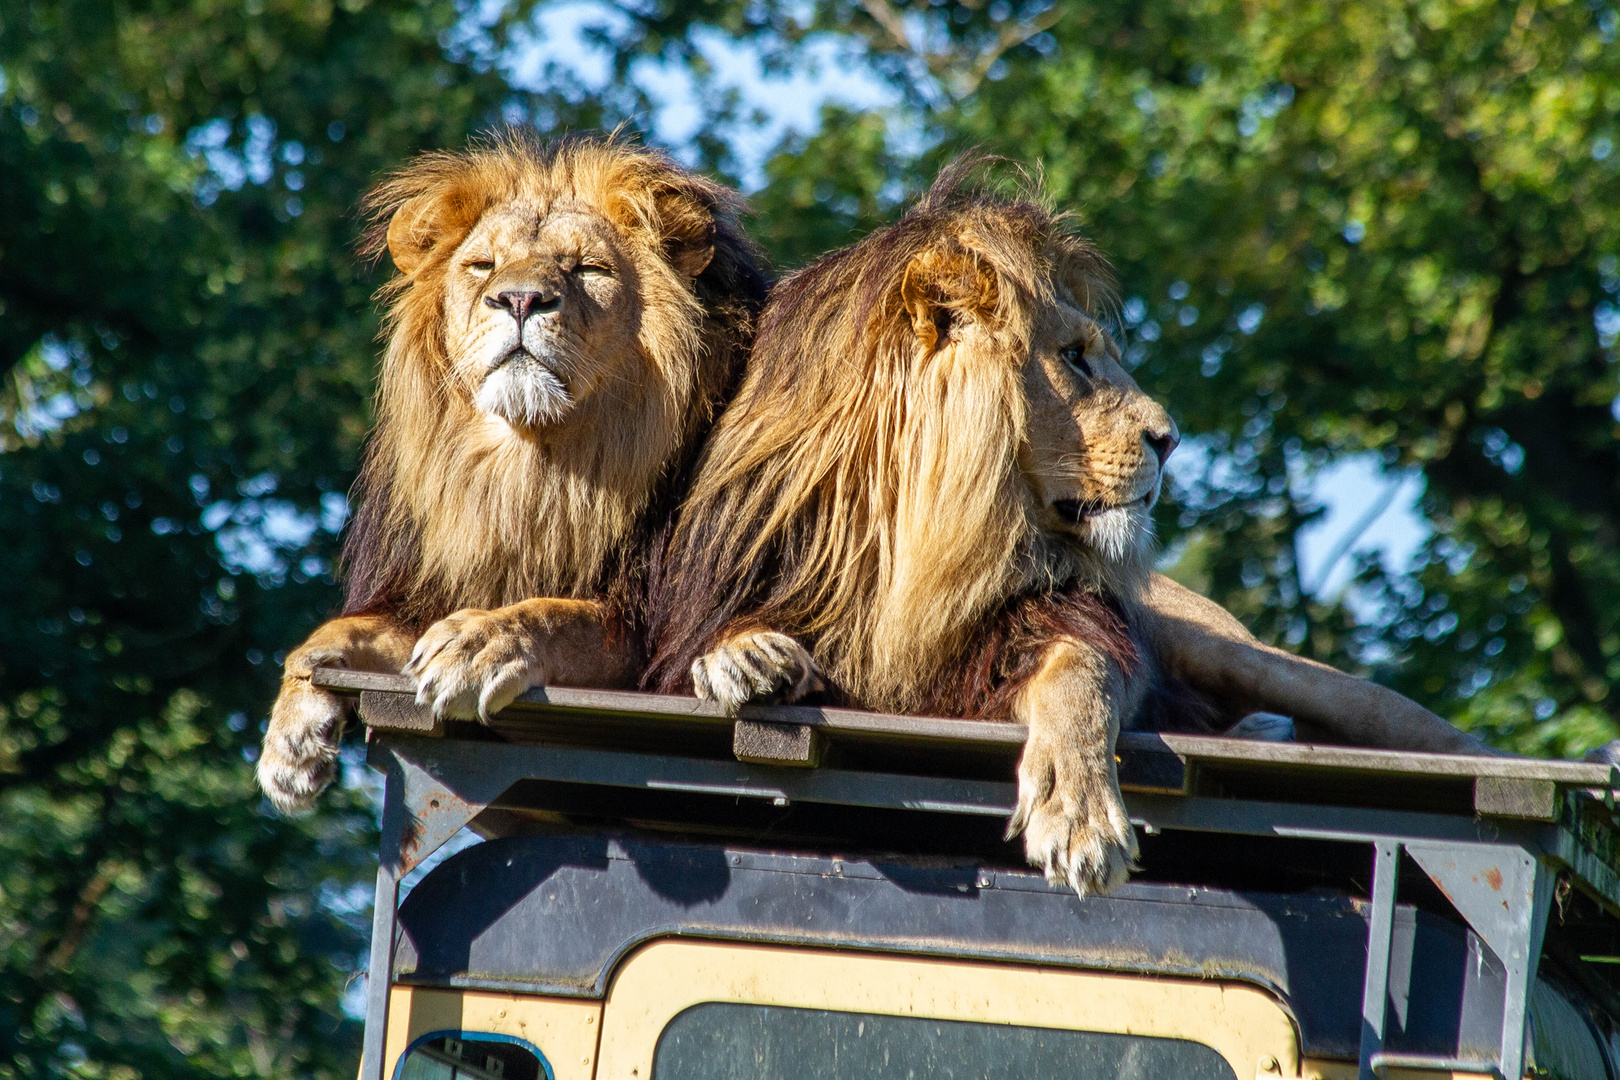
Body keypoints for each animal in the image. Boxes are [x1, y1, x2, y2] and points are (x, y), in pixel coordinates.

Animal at [254, 131, 771, 809]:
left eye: (588, 269)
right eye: (482, 267)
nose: (520, 298)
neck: (527, 469)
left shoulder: (646, 636)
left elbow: (557, 616)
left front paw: (480, 642)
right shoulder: (424, 591)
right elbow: (329, 635)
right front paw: (288, 742)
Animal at [644, 162, 1490, 893]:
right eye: (1076, 358)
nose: (1170, 437)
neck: (913, 553)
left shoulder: (1061, 628)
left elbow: (1078, 682)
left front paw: (1080, 818)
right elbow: (721, 641)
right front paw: (746, 658)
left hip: (1248, 657)